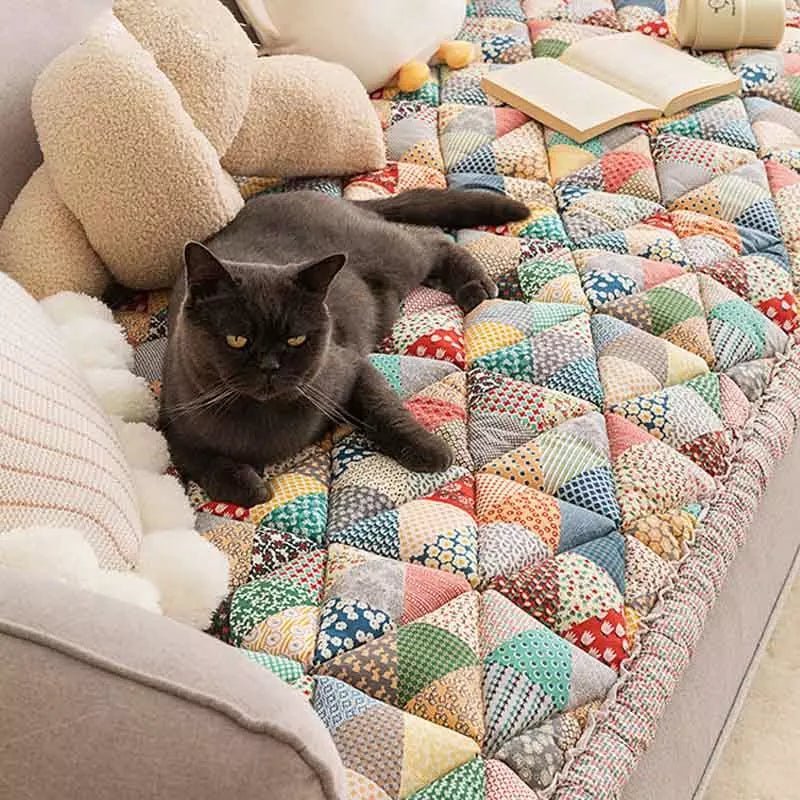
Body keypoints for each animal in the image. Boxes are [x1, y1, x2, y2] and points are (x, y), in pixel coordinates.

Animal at [159, 186, 528, 506]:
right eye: (237, 339)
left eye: (296, 338)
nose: (269, 366)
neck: (262, 420)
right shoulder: (172, 424)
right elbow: (202, 462)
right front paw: (251, 487)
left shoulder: (349, 366)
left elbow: (385, 408)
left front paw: (430, 450)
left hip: (391, 256)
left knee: (434, 241)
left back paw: (476, 286)